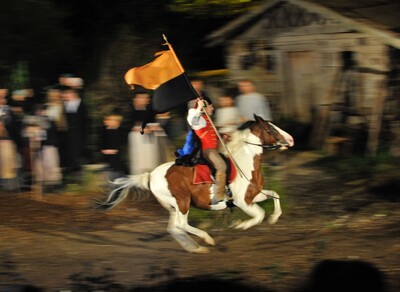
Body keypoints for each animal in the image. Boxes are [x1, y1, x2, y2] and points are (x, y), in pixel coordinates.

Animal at [95, 114, 292, 253]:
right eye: (271, 128)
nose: (291, 140)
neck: (243, 163)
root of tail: (150, 175)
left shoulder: (254, 195)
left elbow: (275, 195)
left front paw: (274, 218)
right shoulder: (243, 202)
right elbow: (259, 215)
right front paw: (239, 225)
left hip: (172, 206)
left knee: (173, 227)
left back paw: (195, 247)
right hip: (182, 202)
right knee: (181, 225)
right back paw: (207, 240)